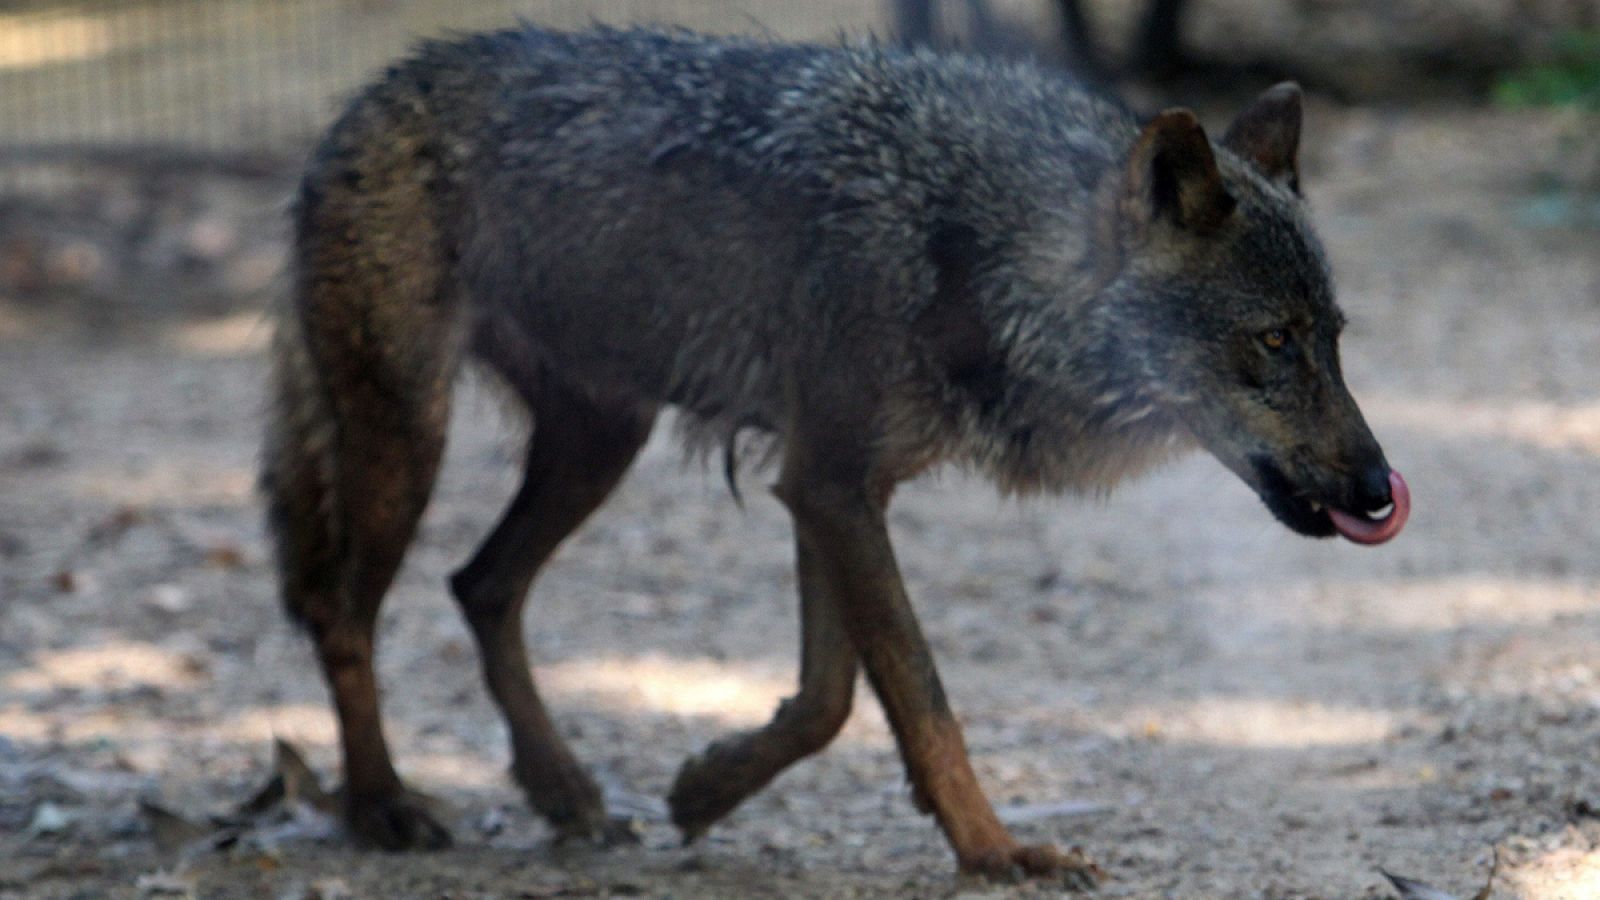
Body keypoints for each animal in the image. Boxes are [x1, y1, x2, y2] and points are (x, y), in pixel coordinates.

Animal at [261, 24, 1409, 882]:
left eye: (1335, 337)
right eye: (1274, 342)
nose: (1376, 489)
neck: (971, 246)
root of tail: (366, 96)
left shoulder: (830, 486)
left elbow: (829, 700)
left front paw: (707, 786)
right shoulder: (830, 487)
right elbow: (919, 694)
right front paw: (998, 852)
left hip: (598, 444)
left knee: (481, 585)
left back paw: (566, 793)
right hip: (408, 438)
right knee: (341, 612)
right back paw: (382, 806)